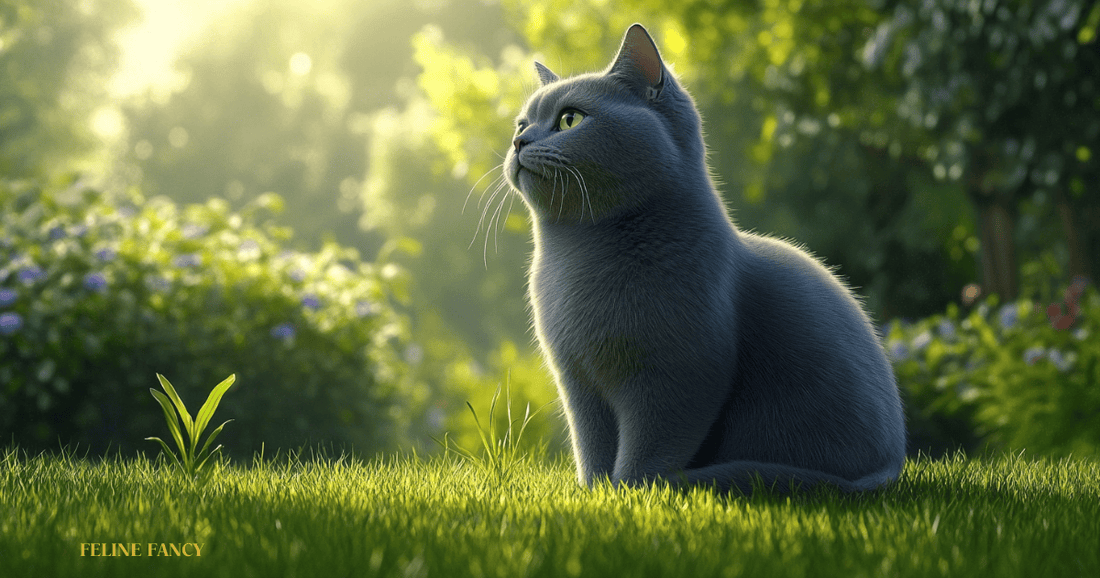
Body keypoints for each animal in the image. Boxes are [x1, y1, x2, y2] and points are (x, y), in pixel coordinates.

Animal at [503, 22, 906, 491]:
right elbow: (592, 449)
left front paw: (630, 492)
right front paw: (595, 491)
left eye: (570, 119)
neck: (573, 259)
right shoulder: (578, 382)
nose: (518, 140)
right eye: (522, 123)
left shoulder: (679, 379)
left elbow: (647, 454)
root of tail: (891, 465)